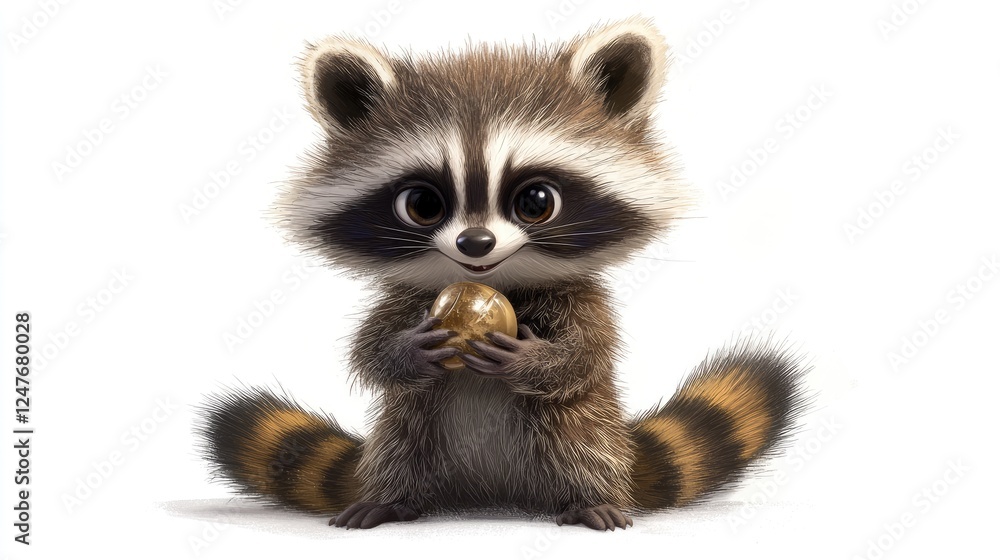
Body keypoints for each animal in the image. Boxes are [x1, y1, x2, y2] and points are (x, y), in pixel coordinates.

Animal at [198, 17, 808, 531]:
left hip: (589, 431)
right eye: (422, 204)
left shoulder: (580, 298)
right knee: (406, 432)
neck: (496, 283)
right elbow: (370, 349)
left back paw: (587, 497)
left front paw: (538, 359)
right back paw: (393, 499)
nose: (476, 244)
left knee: (571, 428)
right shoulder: (409, 299)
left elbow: (585, 354)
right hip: (410, 430)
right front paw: (403, 350)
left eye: (536, 201)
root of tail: (487, 492)